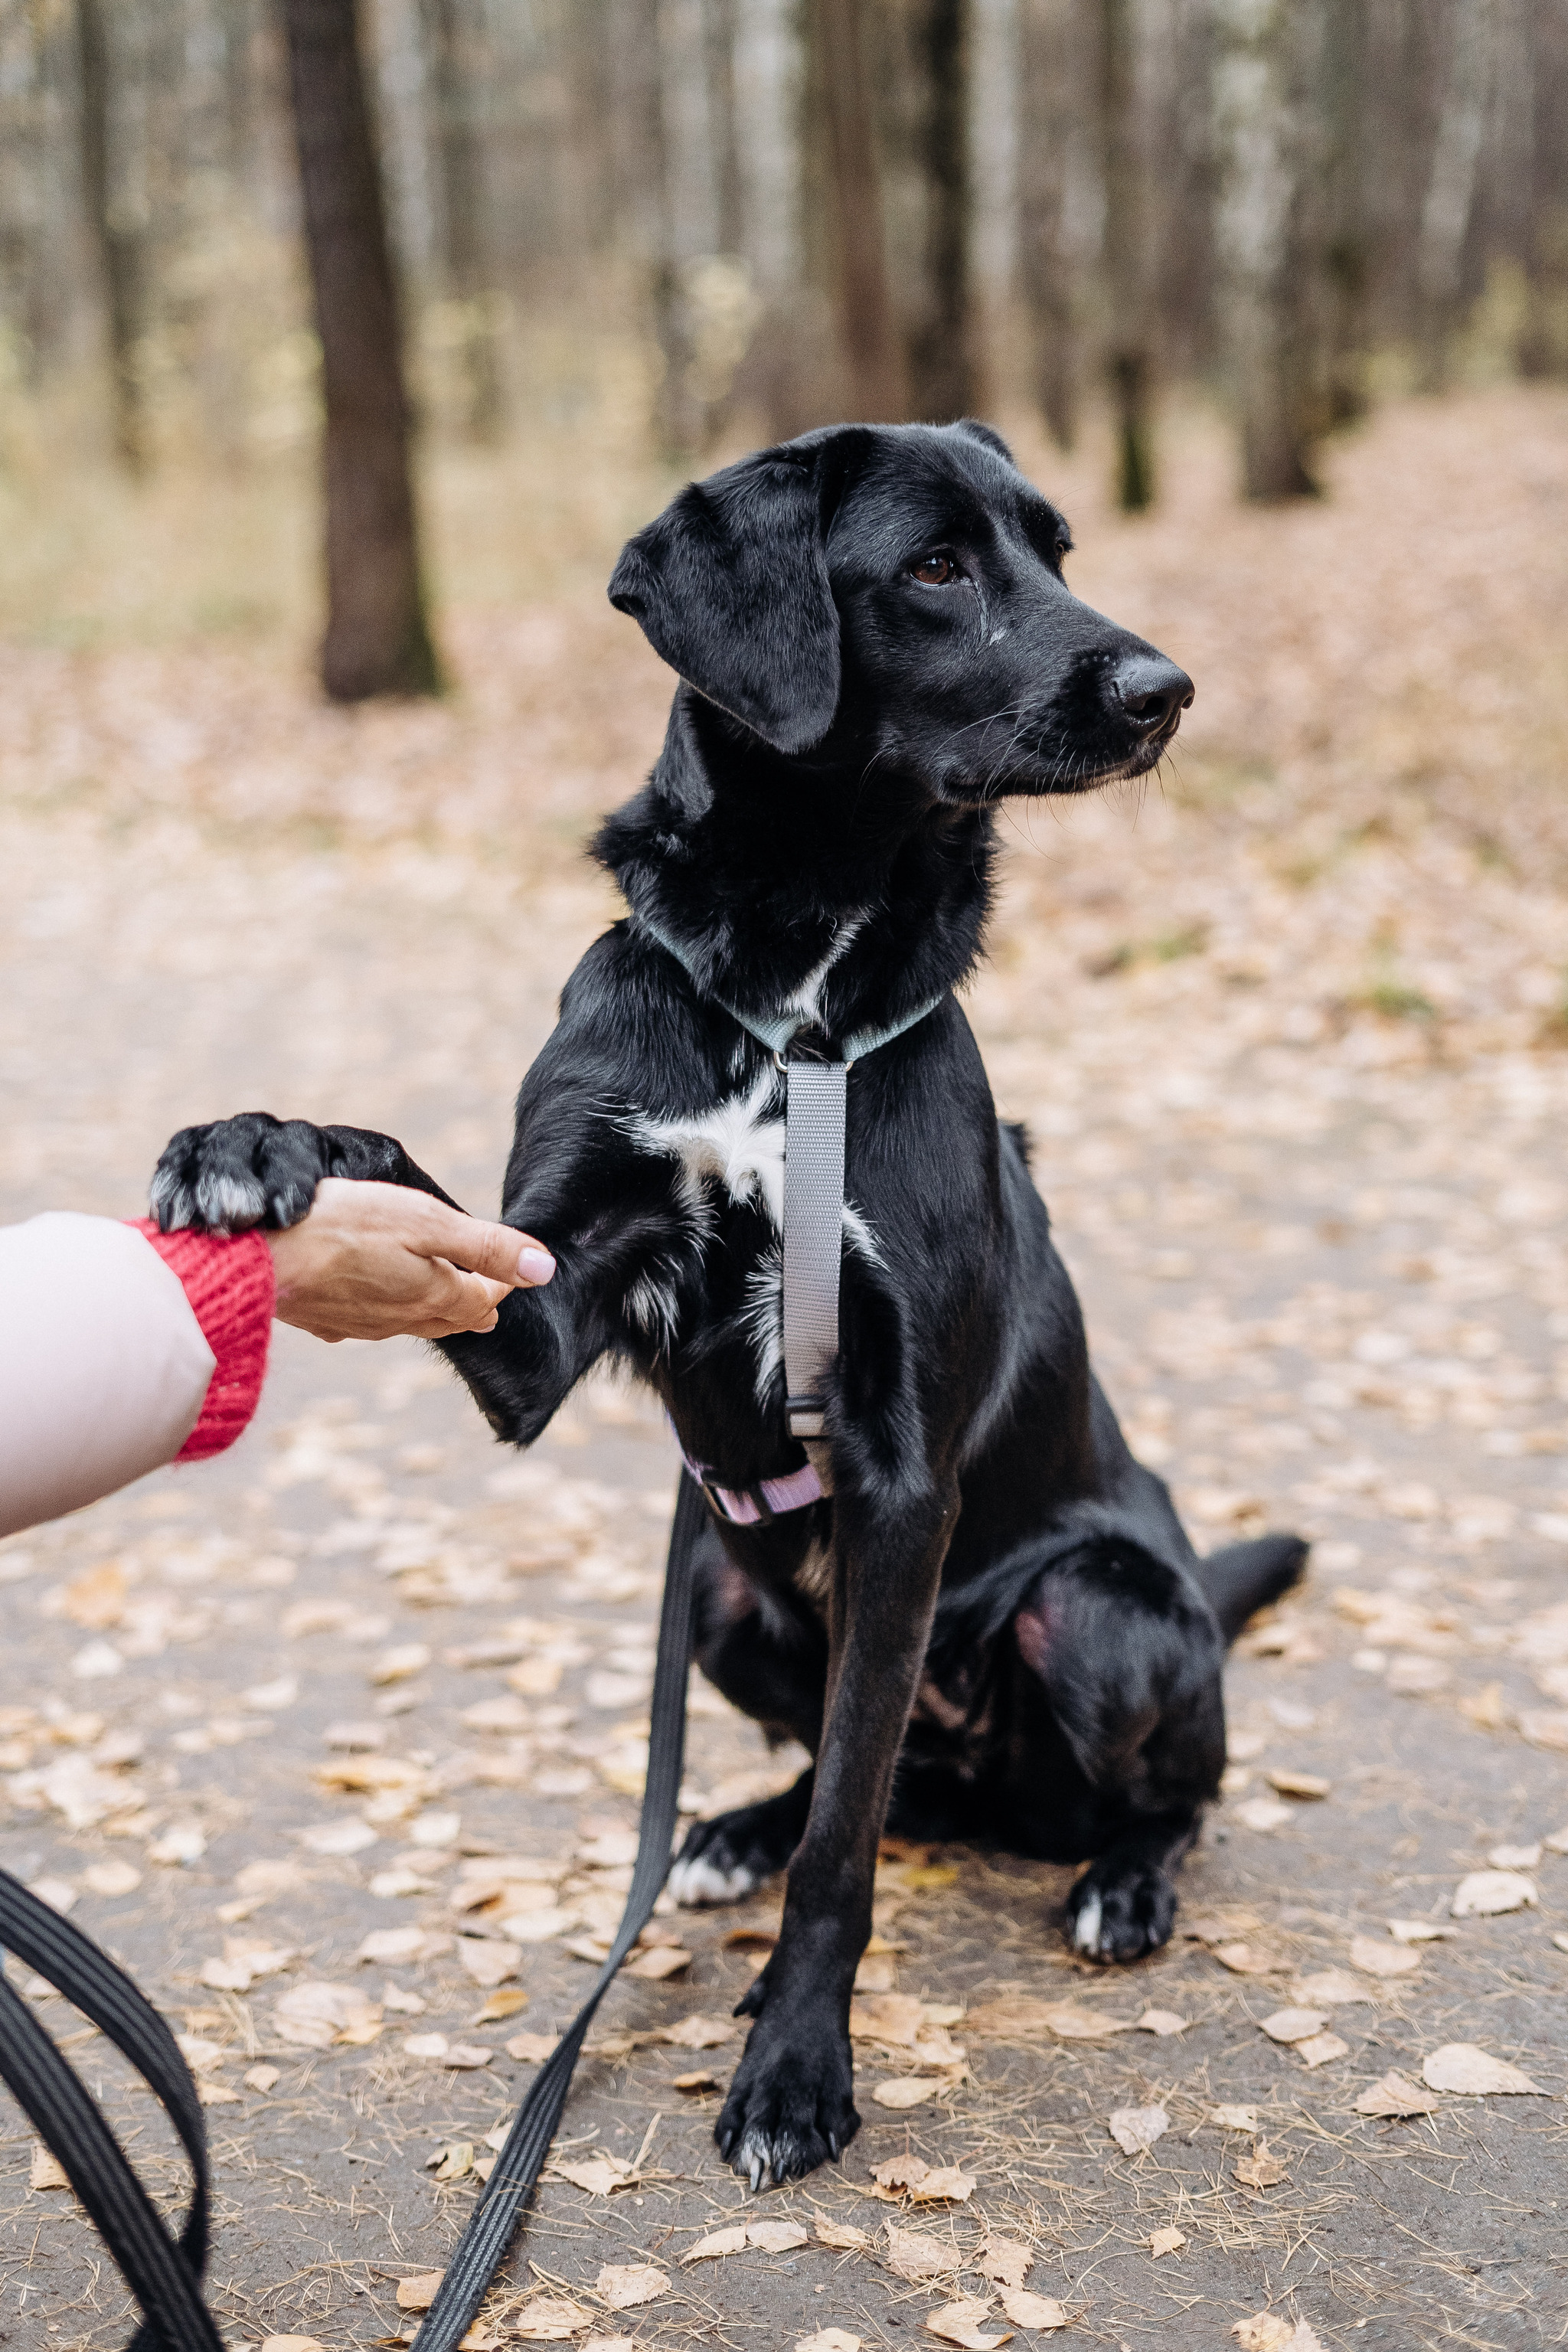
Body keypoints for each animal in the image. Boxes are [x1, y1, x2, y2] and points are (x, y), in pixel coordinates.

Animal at [156, 428, 1316, 2201]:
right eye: (934, 566)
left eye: (1054, 549)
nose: (1165, 690)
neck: (792, 1000)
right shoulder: (541, 1312)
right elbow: (408, 1178)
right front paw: (254, 1141)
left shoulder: (900, 1470)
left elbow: (843, 1856)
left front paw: (791, 2070)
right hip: (716, 1596)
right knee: (873, 1773)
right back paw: (725, 1833)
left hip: (1096, 1609)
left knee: (1091, 1785)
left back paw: (1121, 1879)